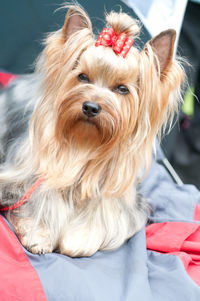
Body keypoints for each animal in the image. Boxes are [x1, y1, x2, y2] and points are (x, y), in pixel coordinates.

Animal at [0, 4, 184, 255]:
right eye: (83, 76)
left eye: (122, 89)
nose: (90, 106)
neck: (85, 145)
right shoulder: (27, 176)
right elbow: (40, 197)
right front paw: (39, 234)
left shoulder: (116, 199)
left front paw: (79, 238)